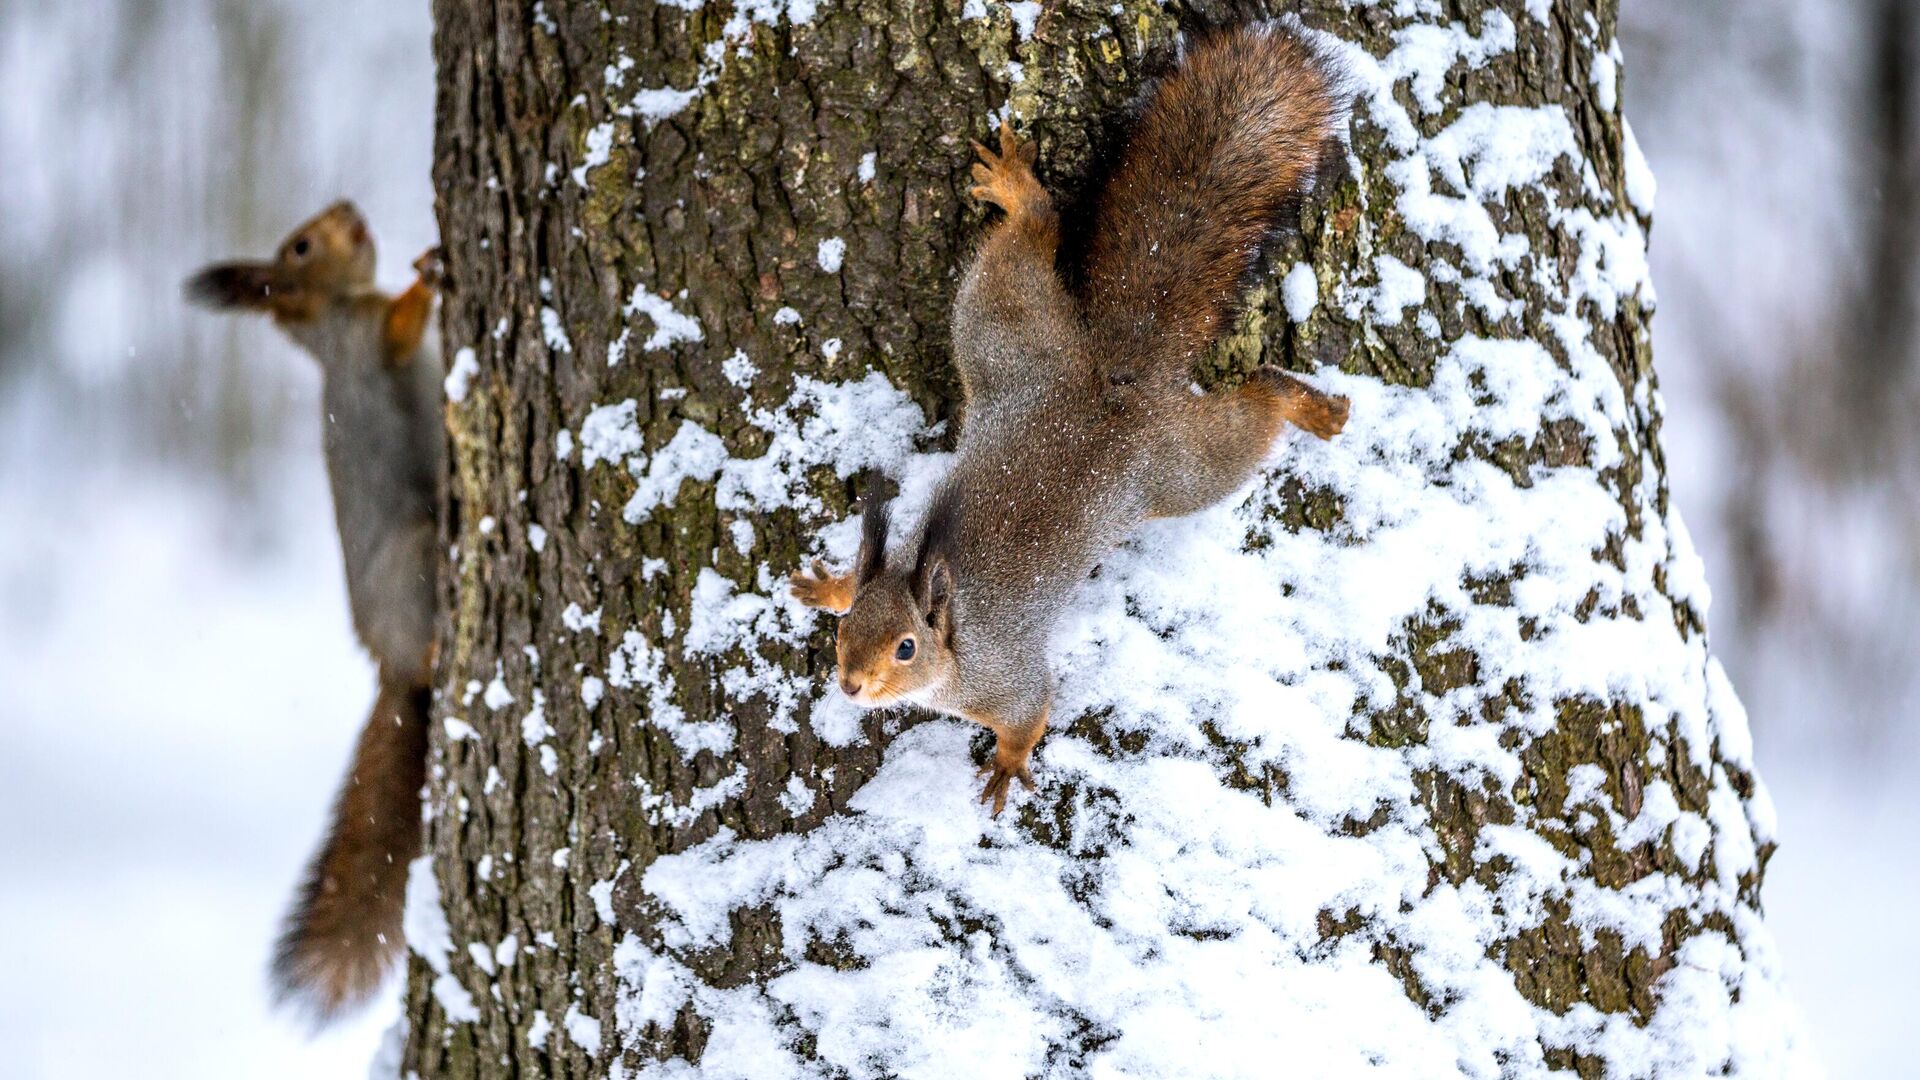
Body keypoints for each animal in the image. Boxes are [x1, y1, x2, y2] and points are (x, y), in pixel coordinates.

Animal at [183, 201, 441, 1014]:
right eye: (300, 245)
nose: (350, 211)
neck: (336, 311)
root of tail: (390, 665)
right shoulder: (369, 341)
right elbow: (403, 326)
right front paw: (431, 269)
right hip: (415, 558)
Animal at [787, 29, 1344, 810]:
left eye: (906, 648)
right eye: (849, 629)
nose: (850, 684)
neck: (955, 632)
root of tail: (1108, 378)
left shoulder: (1006, 678)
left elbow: (1031, 714)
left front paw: (1007, 765)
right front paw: (827, 586)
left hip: (1178, 465)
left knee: (1255, 402)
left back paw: (1309, 406)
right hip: (1007, 336)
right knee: (1029, 241)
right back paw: (1014, 191)